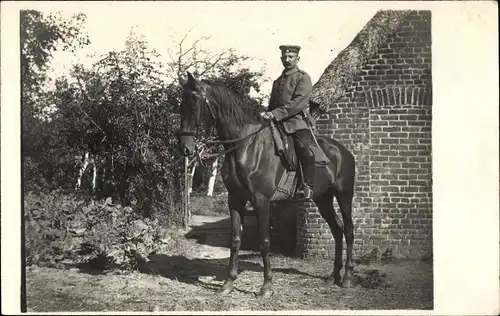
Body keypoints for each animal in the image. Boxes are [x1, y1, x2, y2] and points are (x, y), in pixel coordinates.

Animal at [178, 73, 358, 298]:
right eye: (181, 103)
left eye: (195, 102)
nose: (185, 148)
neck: (246, 146)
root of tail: (343, 151)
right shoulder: (235, 199)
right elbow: (235, 239)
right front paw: (228, 283)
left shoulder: (261, 200)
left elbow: (264, 241)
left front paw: (266, 286)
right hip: (323, 199)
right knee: (337, 229)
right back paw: (334, 275)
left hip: (344, 195)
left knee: (349, 230)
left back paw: (348, 277)